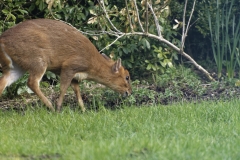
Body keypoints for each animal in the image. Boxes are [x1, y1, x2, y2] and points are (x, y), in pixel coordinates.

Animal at [0, 18, 132, 111]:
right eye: (127, 77)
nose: (129, 92)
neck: (91, 65)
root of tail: (2, 40)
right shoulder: (69, 66)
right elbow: (63, 88)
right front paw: (59, 108)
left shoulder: (75, 76)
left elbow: (77, 91)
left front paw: (84, 110)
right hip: (37, 60)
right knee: (32, 82)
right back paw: (50, 107)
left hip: (15, 67)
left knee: (3, 82)